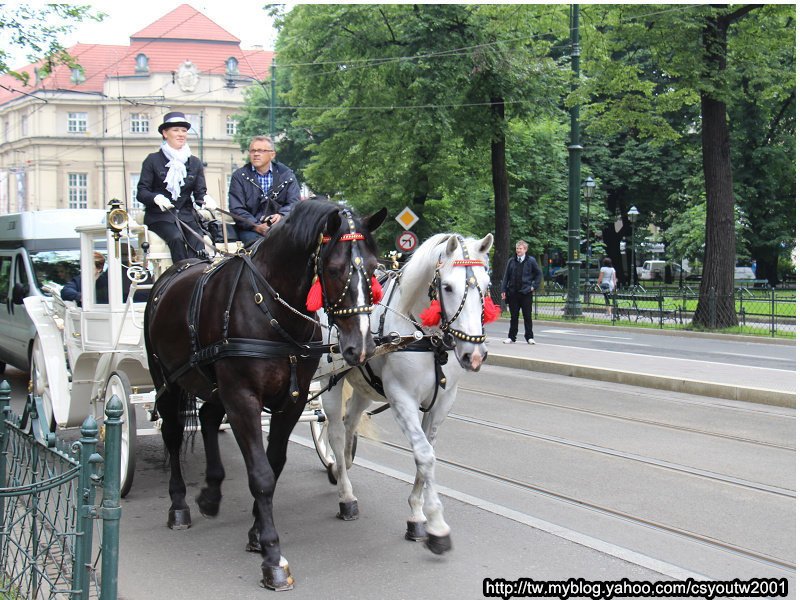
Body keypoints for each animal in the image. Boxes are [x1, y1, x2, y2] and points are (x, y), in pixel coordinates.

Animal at [145, 199, 388, 588]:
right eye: (335, 269)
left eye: (373, 268)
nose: (361, 347)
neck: (270, 308)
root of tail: (173, 272)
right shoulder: (243, 398)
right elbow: (260, 474)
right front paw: (273, 556)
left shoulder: (293, 400)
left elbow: (273, 465)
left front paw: (257, 533)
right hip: (167, 381)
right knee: (172, 433)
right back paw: (179, 505)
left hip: (213, 386)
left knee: (208, 418)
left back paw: (211, 494)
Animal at [318, 232, 494, 556]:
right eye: (447, 286)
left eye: (486, 287)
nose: (474, 355)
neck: (427, 339)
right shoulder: (402, 400)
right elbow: (424, 455)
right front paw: (436, 524)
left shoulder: (441, 404)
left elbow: (428, 454)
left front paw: (417, 514)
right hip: (330, 381)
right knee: (334, 431)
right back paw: (346, 495)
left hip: (363, 386)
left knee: (350, 425)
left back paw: (342, 464)